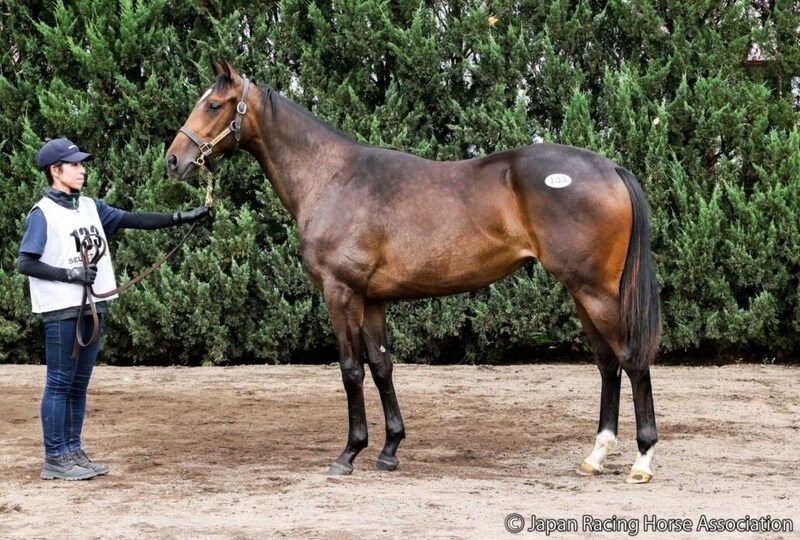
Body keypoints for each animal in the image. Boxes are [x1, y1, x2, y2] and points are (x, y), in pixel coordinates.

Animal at [165, 60, 661, 484]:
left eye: (214, 104)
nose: (173, 160)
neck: (330, 177)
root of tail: (609, 166)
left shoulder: (341, 293)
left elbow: (351, 369)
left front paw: (348, 454)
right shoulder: (372, 299)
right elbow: (383, 367)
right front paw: (389, 451)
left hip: (597, 292)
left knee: (632, 360)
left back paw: (642, 459)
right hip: (583, 293)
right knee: (607, 364)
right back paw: (596, 456)